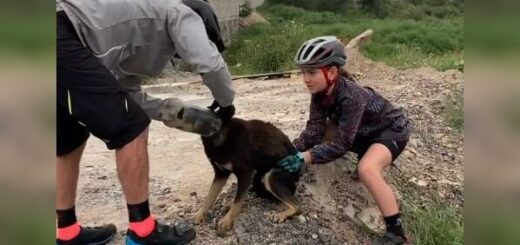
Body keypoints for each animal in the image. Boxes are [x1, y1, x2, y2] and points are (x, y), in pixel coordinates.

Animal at [157, 98, 300, 234]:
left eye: (190, 110)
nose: (162, 112)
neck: (219, 133)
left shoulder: (245, 173)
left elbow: (237, 202)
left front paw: (227, 220)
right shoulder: (220, 173)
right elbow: (210, 197)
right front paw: (199, 215)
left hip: (270, 176)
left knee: (297, 206)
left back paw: (281, 214)